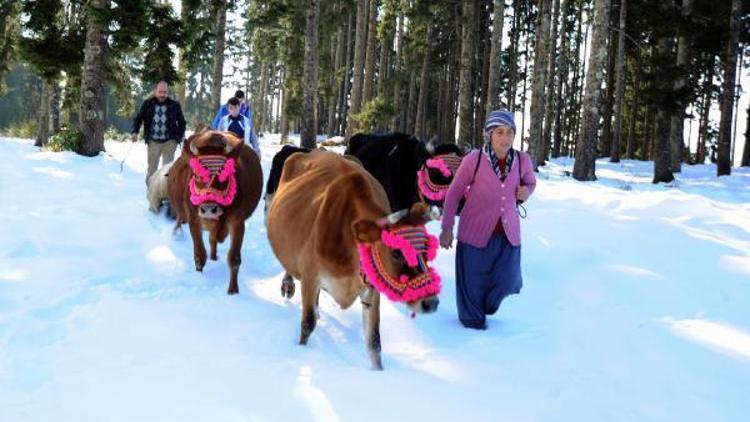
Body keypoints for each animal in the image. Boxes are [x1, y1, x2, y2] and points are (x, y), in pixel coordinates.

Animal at [168, 130, 264, 296]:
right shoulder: (194, 219)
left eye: (225, 175)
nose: (208, 208)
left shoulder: (237, 222)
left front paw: (233, 291)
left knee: (214, 240)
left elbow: (234, 258)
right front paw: (200, 276)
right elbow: (199, 254)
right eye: (196, 174)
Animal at [268, 149, 440, 370]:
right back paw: (288, 285)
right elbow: (307, 324)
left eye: (427, 249)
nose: (431, 302)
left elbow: (374, 341)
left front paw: (379, 371)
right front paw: (301, 349)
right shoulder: (310, 276)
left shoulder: (372, 288)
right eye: (396, 252)